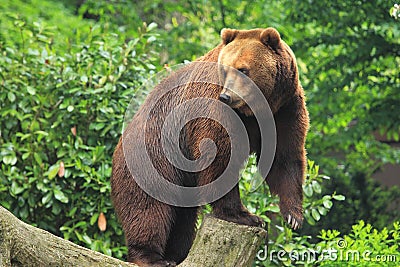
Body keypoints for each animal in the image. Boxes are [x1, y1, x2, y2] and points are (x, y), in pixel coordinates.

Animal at [112, 28, 310, 266]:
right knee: (148, 208)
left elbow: (285, 157)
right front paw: (246, 216)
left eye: (243, 69)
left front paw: (293, 216)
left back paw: (176, 253)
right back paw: (152, 257)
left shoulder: (285, 109)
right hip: (151, 160)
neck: (257, 108)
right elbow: (219, 160)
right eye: (225, 69)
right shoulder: (212, 109)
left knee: (183, 218)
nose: (227, 96)